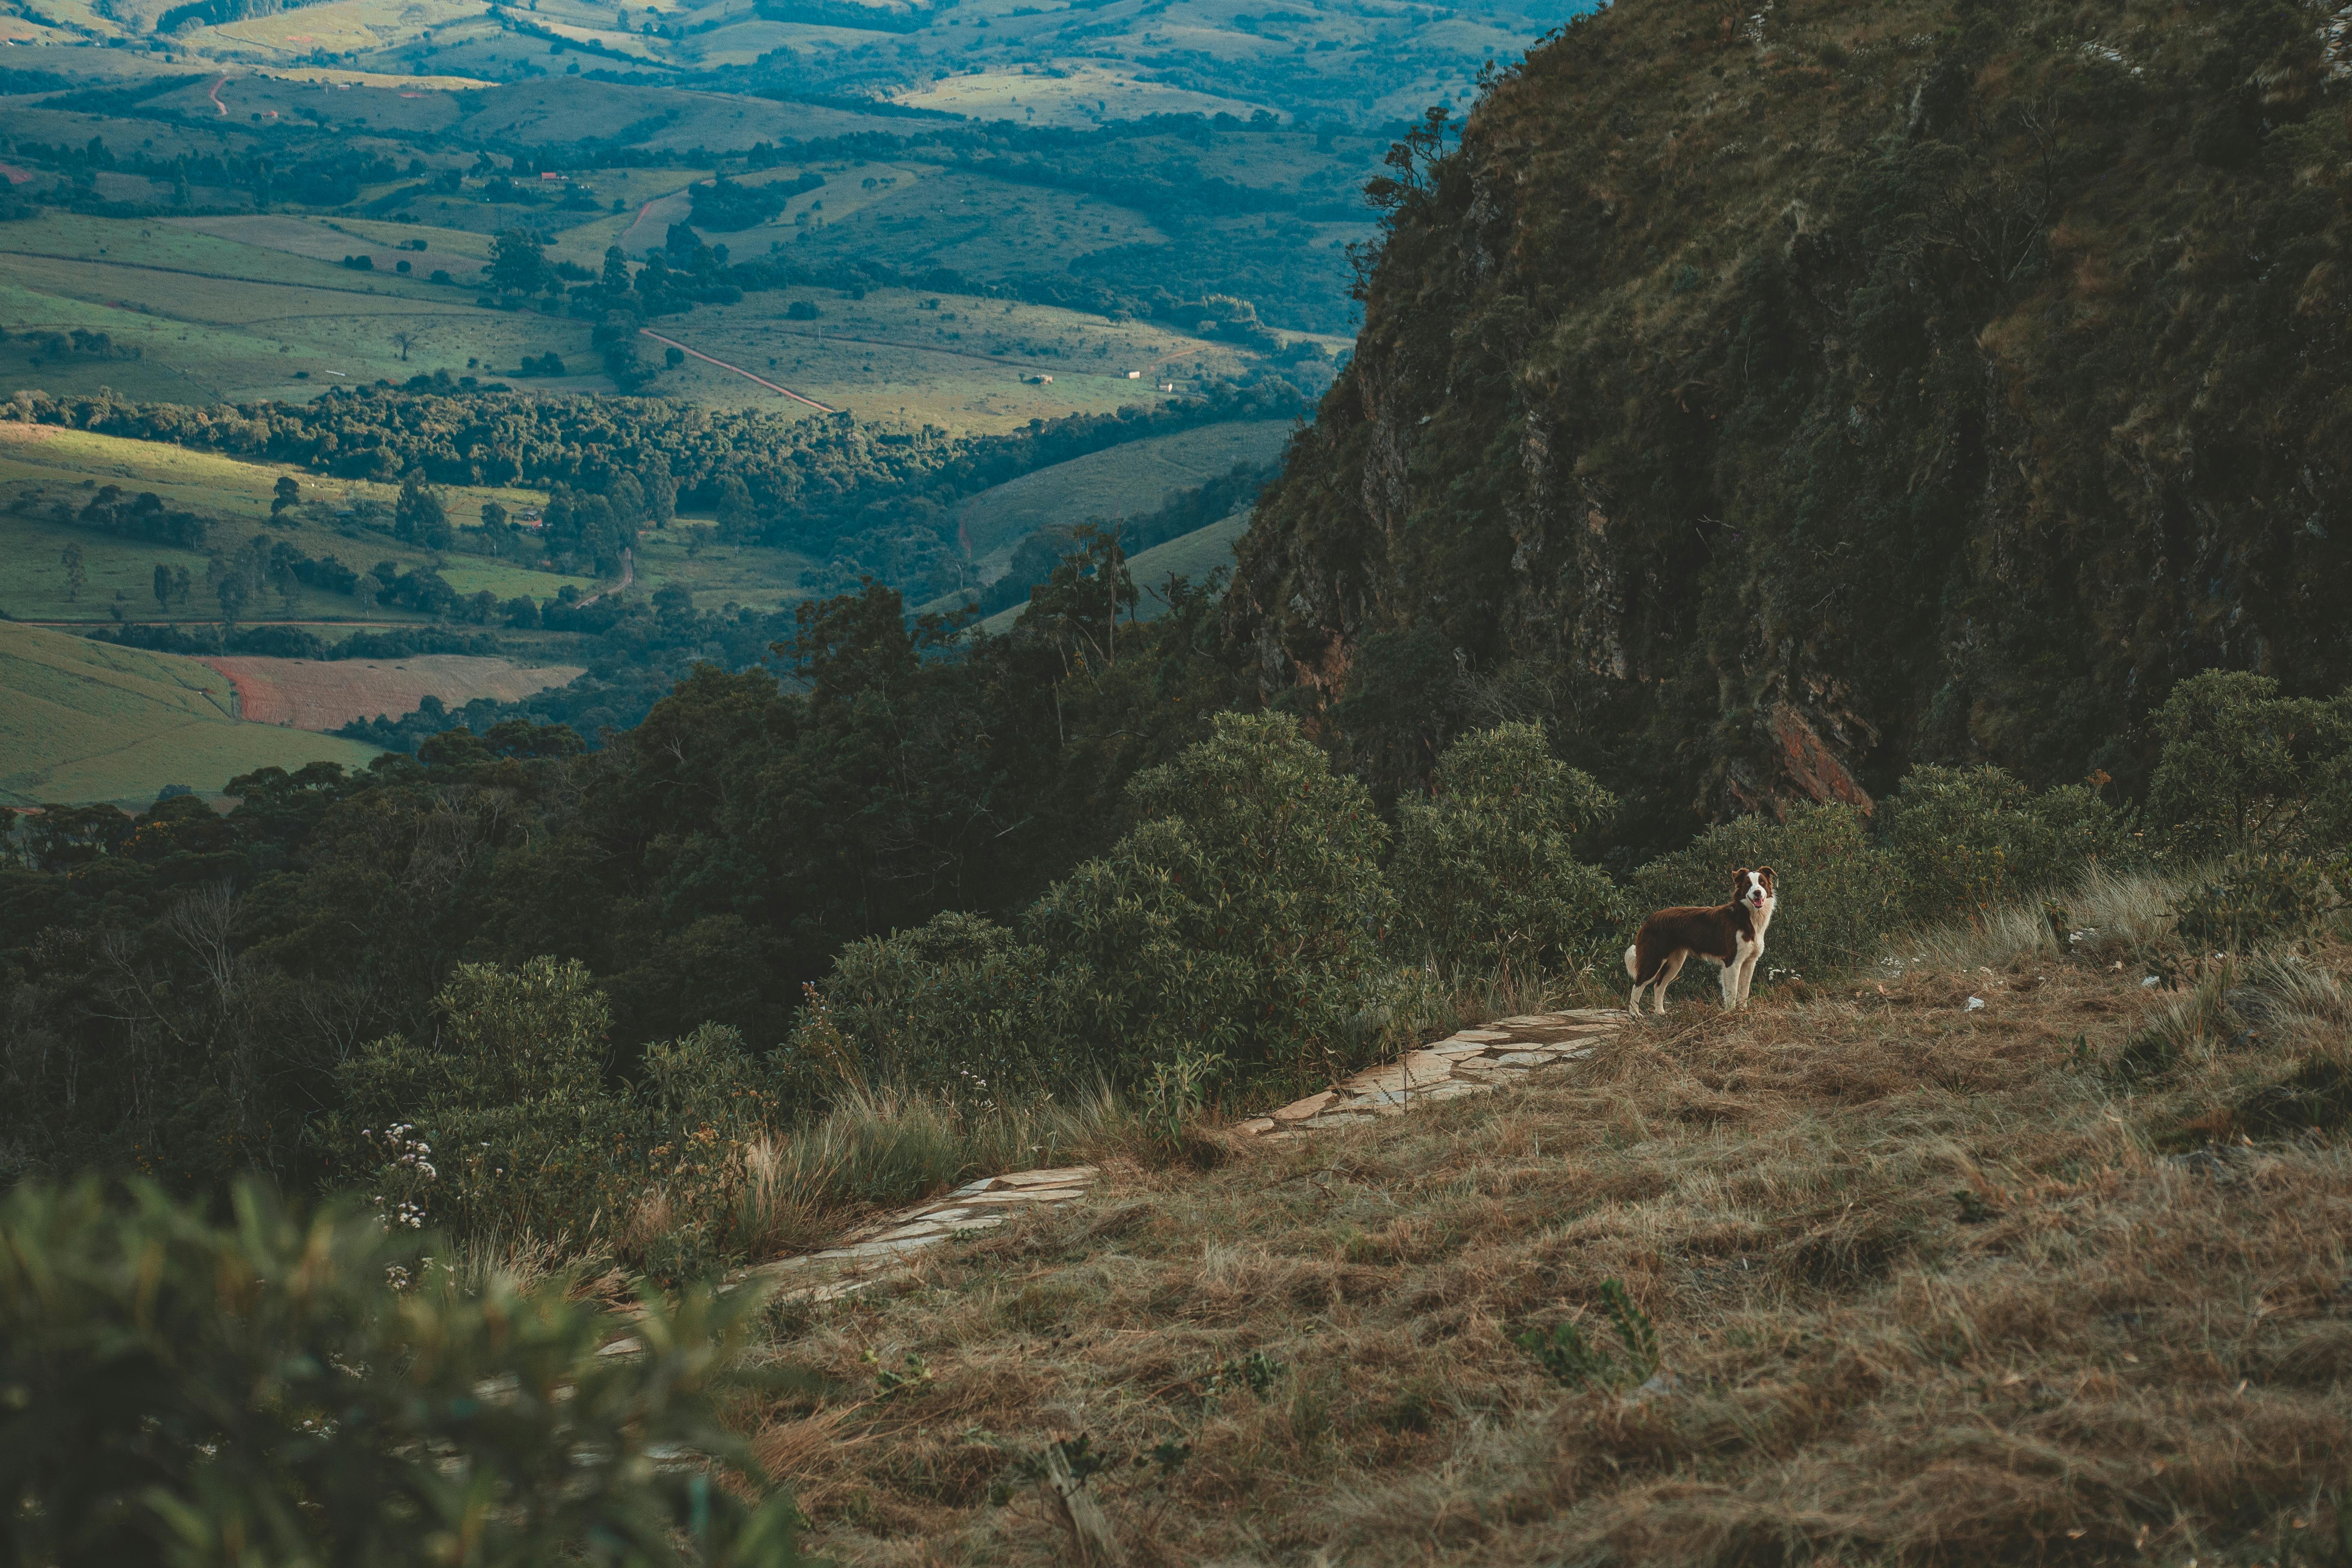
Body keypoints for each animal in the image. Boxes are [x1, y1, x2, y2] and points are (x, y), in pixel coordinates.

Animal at [1627, 870, 1768, 1020]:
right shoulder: (1733, 962)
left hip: (1675, 963)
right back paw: (1634, 1014)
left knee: (1659, 986)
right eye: (1748, 885)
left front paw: (1743, 1011)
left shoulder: (1750, 962)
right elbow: (1733, 991)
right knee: (1638, 984)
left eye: (1762, 883)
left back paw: (1660, 1012)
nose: (1758, 893)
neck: (1746, 916)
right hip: (1654, 959)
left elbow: (1745, 990)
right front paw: (1731, 1013)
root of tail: (1650, 919)